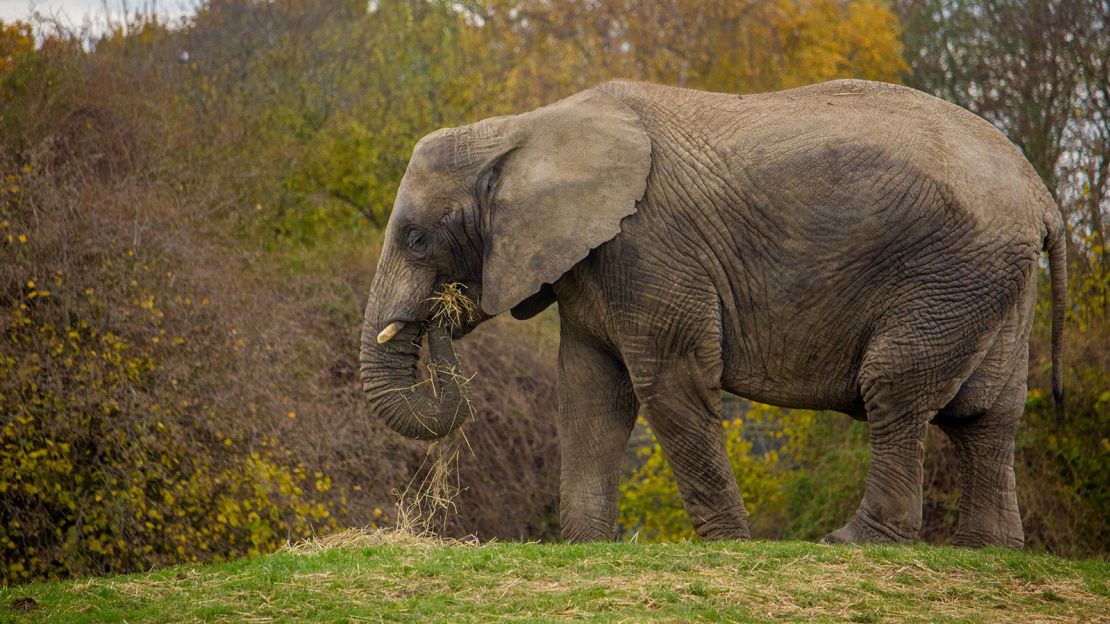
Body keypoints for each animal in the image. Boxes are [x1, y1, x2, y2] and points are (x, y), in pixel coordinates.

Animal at [357, 77, 1065, 544]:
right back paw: (988, 551)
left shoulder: (648, 246)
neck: (522, 128)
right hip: (994, 282)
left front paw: (728, 544)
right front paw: (587, 548)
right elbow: (591, 392)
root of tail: (1039, 193)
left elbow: (668, 382)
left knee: (894, 388)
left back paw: (853, 542)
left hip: (950, 274)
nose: (443, 317)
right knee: (989, 412)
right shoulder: (593, 262)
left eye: (416, 239)